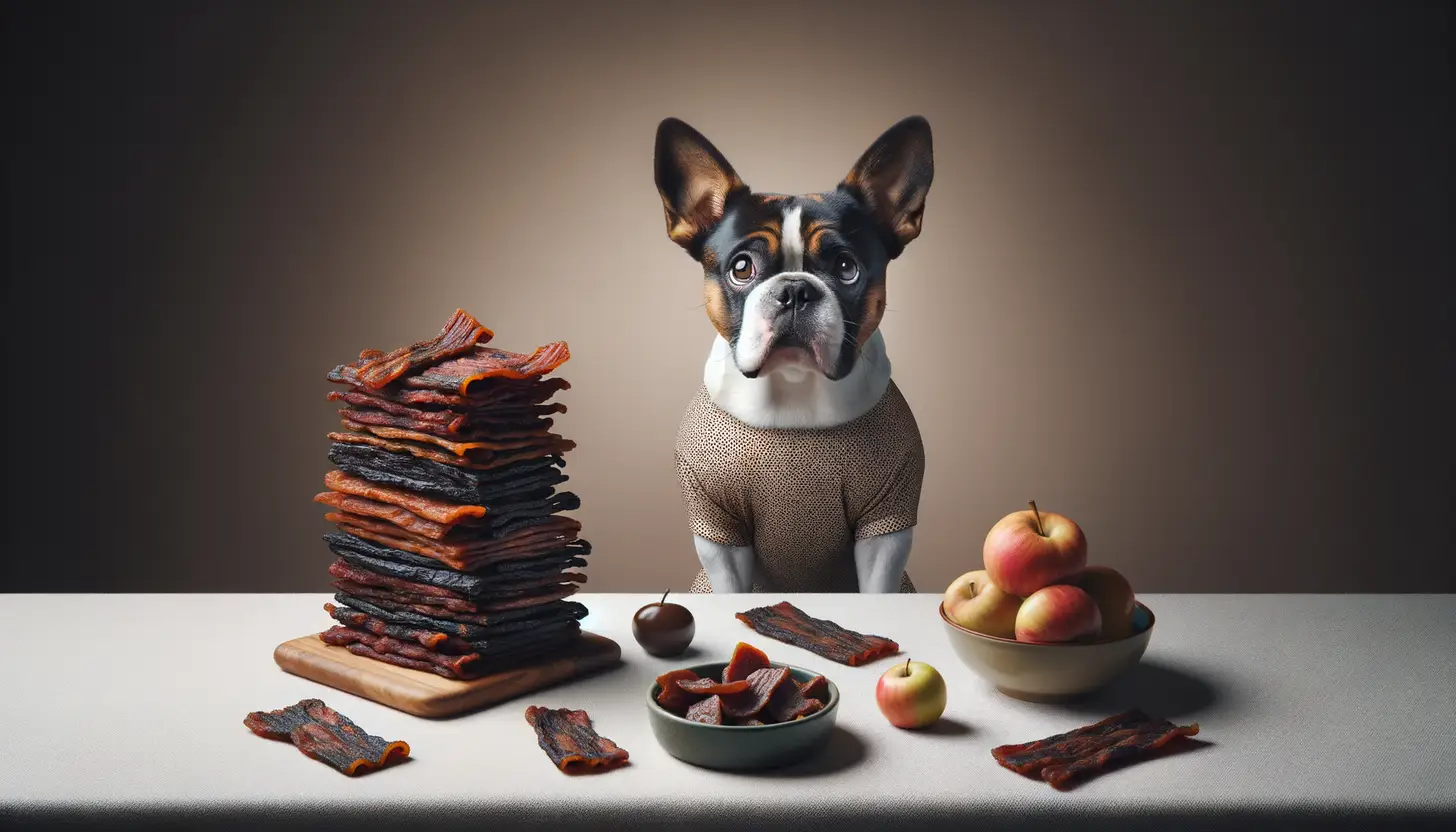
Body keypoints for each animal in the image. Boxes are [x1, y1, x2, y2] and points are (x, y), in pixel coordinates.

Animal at [658, 115, 937, 591]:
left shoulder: (887, 527)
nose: (794, 290)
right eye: (742, 268)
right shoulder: (719, 533)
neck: (795, 391)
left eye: (846, 267)